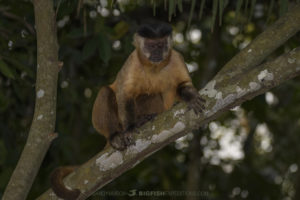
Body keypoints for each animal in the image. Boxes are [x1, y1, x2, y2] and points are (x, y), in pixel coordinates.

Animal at [51, 21, 205, 200]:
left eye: (160, 45)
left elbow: (182, 85)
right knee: (106, 92)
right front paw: (131, 128)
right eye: (151, 45)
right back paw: (116, 135)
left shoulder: (176, 58)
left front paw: (190, 96)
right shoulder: (132, 62)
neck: (154, 67)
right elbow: (125, 95)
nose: (157, 52)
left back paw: (146, 118)